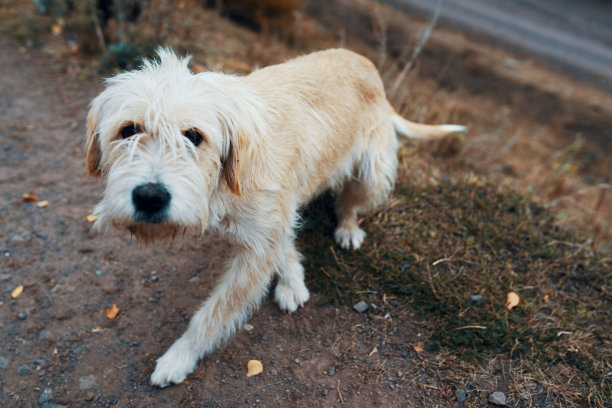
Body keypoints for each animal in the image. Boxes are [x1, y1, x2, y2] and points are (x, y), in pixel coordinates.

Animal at [86, 47, 466, 386]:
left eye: (193, 136)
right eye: (128, 130)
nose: (150, 196)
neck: (227, 178)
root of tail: (369, 66)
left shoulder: (257, 250)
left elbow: (212, 315)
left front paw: (179, 357)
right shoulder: (271, 226)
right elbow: (283, 243)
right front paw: (292, 280)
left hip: (372, 172)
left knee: (349, 202)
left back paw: (347, 227)